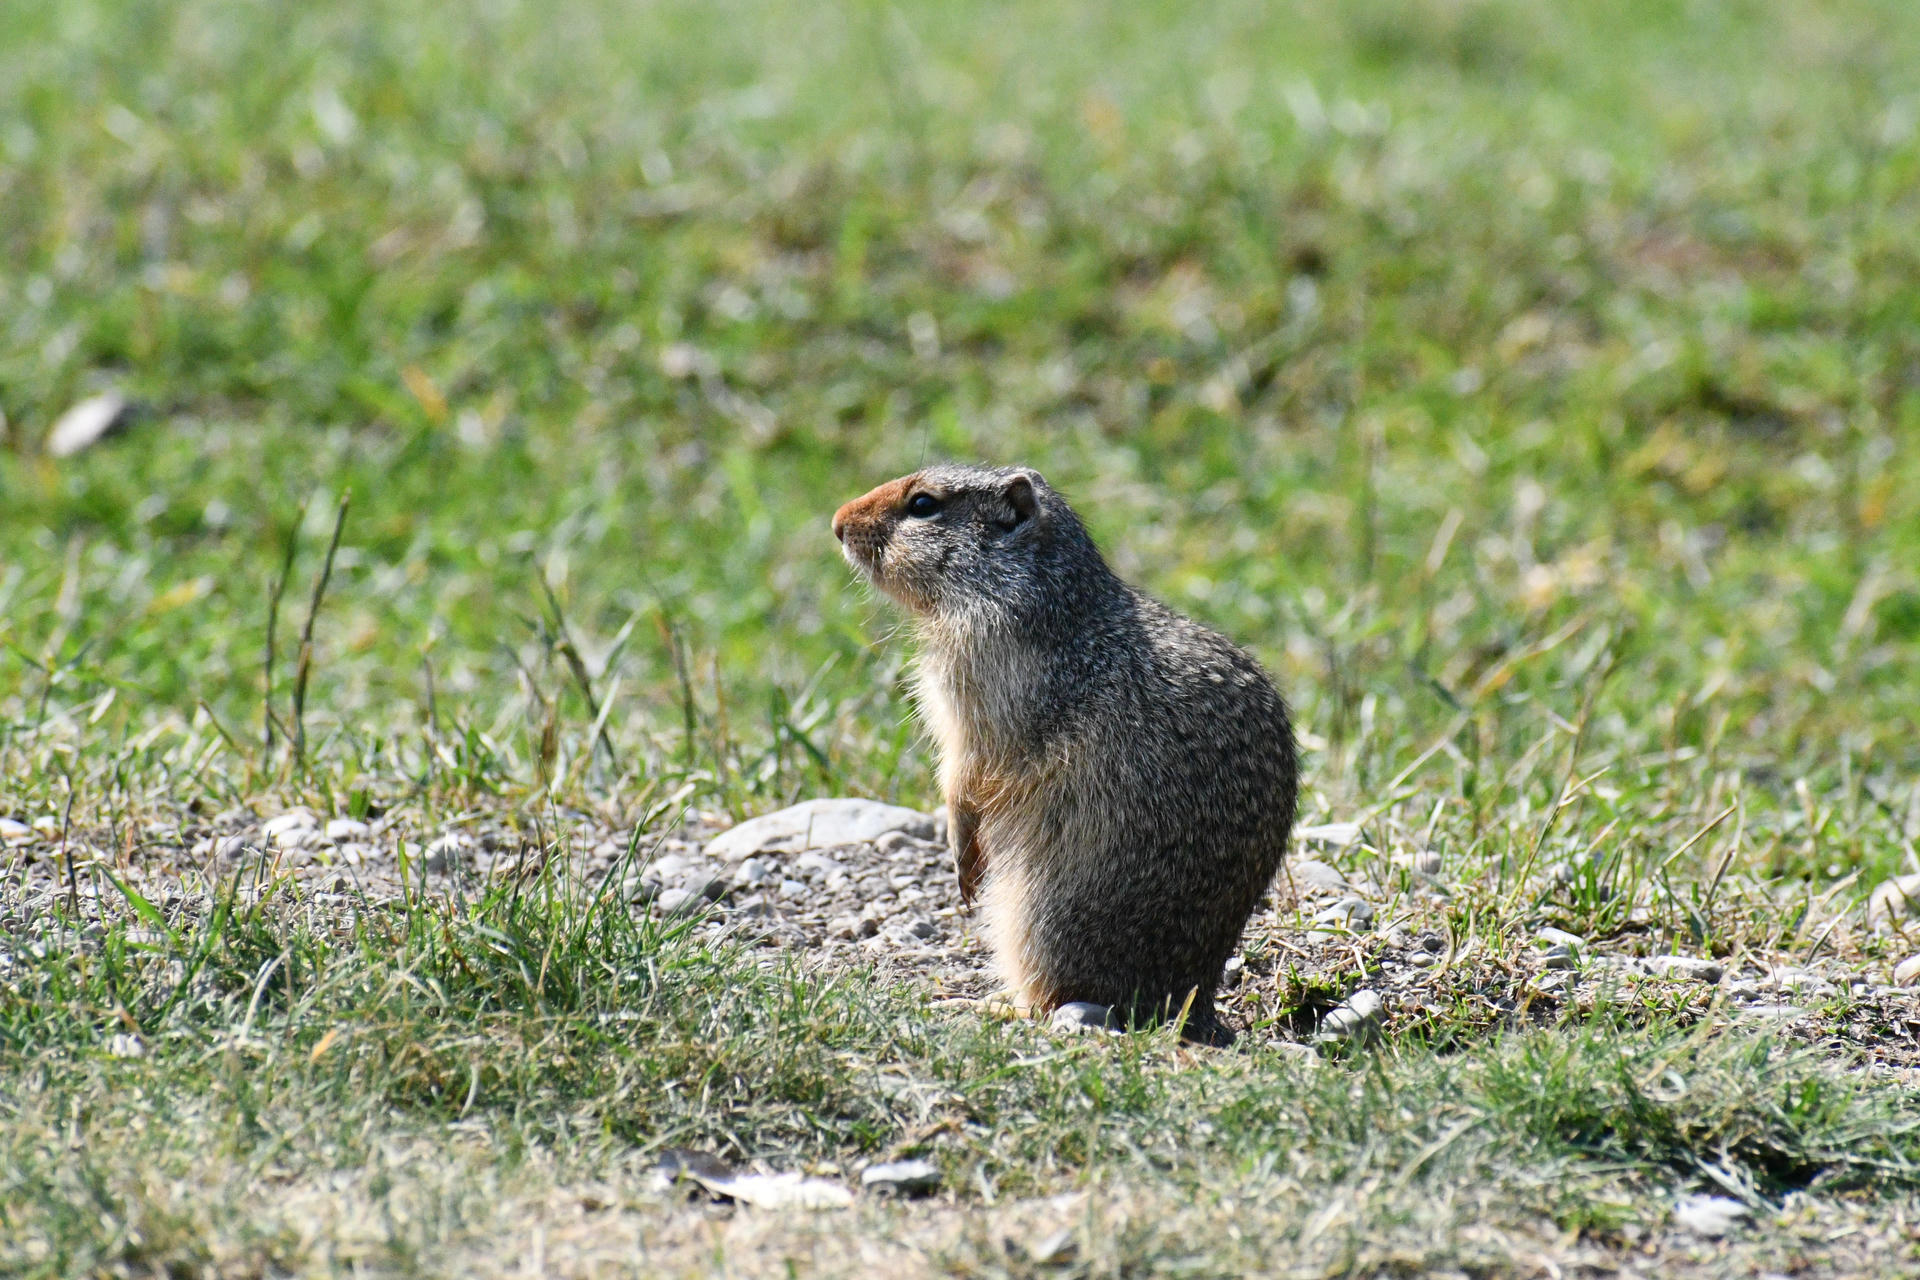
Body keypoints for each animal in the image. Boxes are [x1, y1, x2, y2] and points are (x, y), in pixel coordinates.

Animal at [833, 463, 1296, 1045]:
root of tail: (1192, 1005)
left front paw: (961, 858)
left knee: (1051, 1001)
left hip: (1036, 920)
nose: (836, 522)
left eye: (922, 505)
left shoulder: (976, 698)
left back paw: (987, 1005)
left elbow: (963, 777)